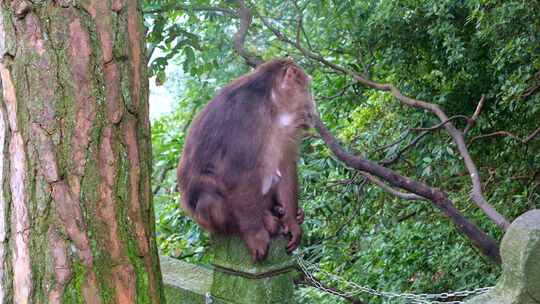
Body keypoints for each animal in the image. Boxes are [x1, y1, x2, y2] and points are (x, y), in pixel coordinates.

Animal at [177, 58, 316, 262]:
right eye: (306, 88)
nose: (314, 107)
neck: (270, 103)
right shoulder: (244, 119)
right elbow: (236, 175)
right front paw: (255, 234)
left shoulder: (287, 126)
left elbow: (285, 165)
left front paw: (291, 222)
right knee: (207, 195)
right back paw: (258, 222)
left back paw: (281, 211)